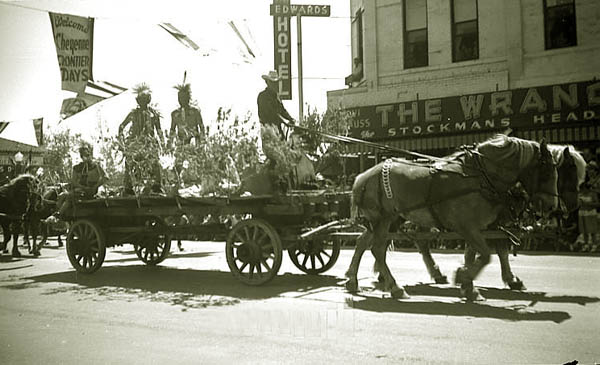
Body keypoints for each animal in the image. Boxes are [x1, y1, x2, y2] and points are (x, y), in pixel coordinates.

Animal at [344, 135, 560, 300]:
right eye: (547, 170)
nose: (551, 206)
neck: (479, 176)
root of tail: (362, 177)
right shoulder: (467, 226)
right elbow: (486, 254)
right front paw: (465, 279)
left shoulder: (475, 227)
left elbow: (476, 254)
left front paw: (468, 285)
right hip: (382, 219)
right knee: (378, 249)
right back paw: (395, 287)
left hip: (386, 220)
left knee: (364, 243)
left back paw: (353, 280)